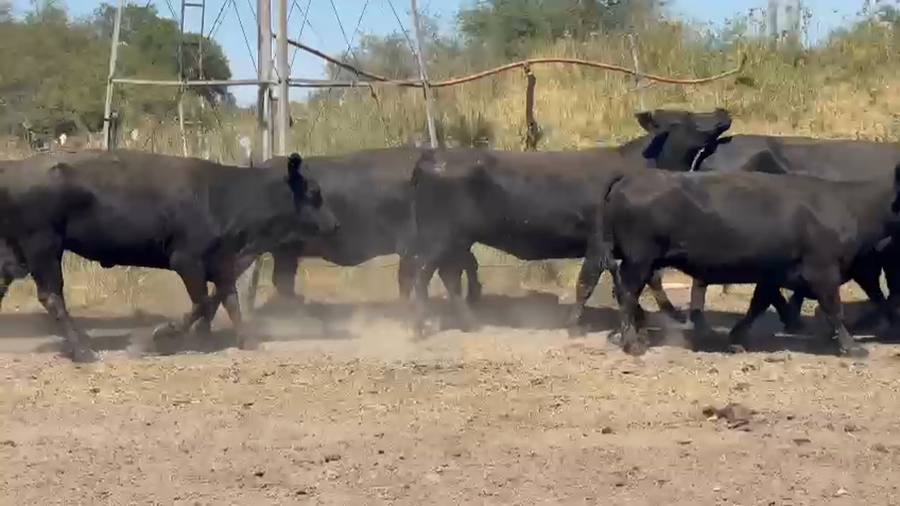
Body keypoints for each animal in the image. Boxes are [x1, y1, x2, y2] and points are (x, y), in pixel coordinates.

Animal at [0, 149, 338, 363]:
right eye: (313, 193)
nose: (334, 224)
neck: (225, 195)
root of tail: (12, 168)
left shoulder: (222, 262)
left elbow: (230, 301)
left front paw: (248, 341)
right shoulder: (186, 260)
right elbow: (203, 303)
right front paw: (158, 337)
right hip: (42, 247)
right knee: (52, 296)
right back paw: (83, 352)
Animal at [405, 108, 736, 337]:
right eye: (687, 116)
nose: (722, 111)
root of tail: (429, 159)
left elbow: (633, 283)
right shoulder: (599, 243)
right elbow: (588, 283)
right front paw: (575, 325)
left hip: (456, 240)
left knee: (446, 276)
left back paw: (468, 323)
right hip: (439, 237)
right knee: (421, 275)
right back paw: (421, 326)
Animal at [575, 153, 900, 359]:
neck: (850, 205)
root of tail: (630, 178)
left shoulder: (774, 272)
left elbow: (759, 303)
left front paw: (737, 337)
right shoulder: (823, 270)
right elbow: (834, 309)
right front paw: (852, 347)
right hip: (639, 259)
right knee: (626, 294)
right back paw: (632, 343)